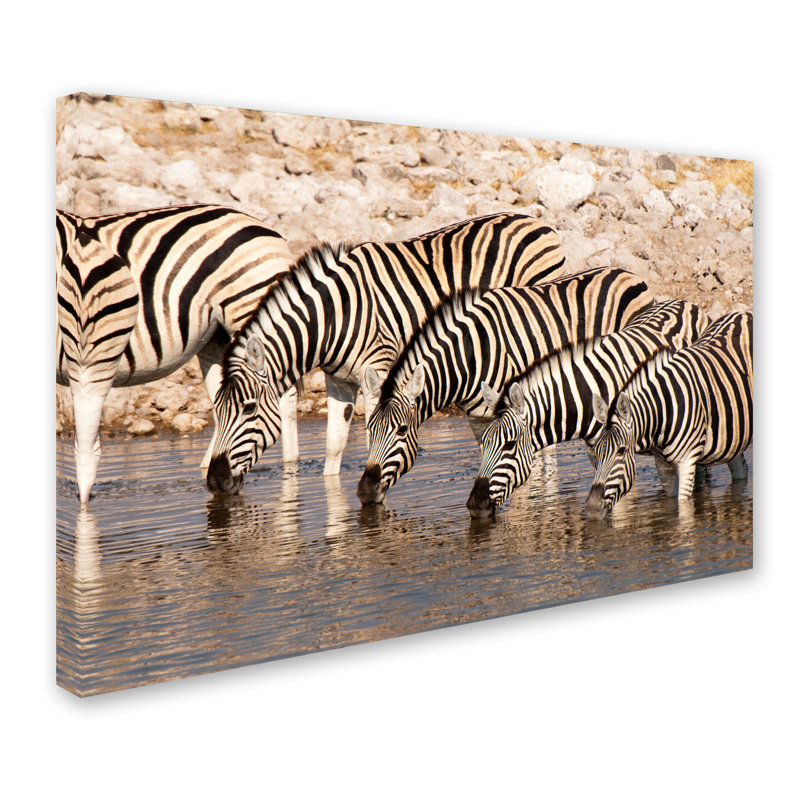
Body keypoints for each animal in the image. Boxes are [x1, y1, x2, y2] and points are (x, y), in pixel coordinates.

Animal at [204, 212, 567, 495]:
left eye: (249, 409)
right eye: (216, 412)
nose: (215, 482)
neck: (334, 316)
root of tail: (537, 221)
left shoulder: (377, 371)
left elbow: (372, 438)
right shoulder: (339, 381)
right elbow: (334, 444)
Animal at [356, 267, 655, 505]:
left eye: (402, 430)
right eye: (370, 429)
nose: (365, 492)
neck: (470, 355)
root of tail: (627, 273)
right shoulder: (478, 419)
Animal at [466, 300, 710, 517]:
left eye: (509, 445)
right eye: (484, 442)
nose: (474, 505)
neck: (590, 394)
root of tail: (685, 303)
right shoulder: (598, 457)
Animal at [585, 311, 753, 518]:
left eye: (621, 450)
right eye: (596, 451)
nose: (591, 508)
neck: (662, 414)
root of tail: (742, 313)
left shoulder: (687, 461)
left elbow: (683, 506)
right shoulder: (663, 466)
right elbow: (670, 502)